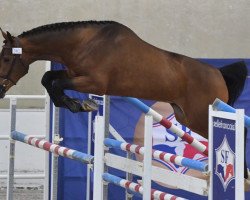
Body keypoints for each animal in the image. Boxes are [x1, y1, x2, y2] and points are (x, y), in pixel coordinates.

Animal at [0, 21, 247, 178]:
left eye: (6, 58)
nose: (1, 90)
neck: (84, 43)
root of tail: (218, 73)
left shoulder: (93, 82)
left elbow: (56, 84)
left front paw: (78, 104)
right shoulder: (72, 74)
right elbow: (48, 79)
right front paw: (73, 104)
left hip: (201, 115)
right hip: (185, 116)